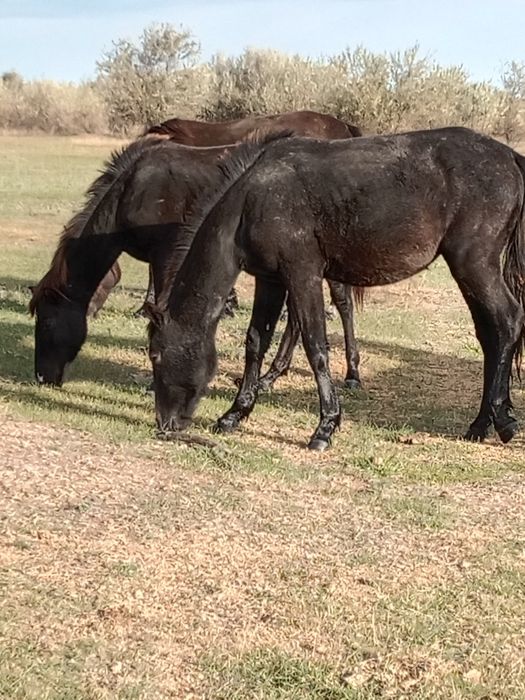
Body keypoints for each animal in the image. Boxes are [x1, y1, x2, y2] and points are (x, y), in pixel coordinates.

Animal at [29, 135, 361, 388]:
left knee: (341, 305)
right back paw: (272, 374)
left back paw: (350, 374)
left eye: (46, 321)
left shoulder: (165, 255)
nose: (42, 377)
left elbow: (161, 302)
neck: (133, 189)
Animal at [144, 127, 525, 451]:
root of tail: (509, 156)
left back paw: (499, 421)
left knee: (508, 321)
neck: (254, 198)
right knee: (490, 334)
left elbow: (316, 347)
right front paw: (235, 414)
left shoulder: (303, 275)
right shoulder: (270, 281)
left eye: (156, 354)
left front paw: (325, 426)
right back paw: (484, 423)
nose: (165, 424)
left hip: (474, 264)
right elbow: (256, 342)